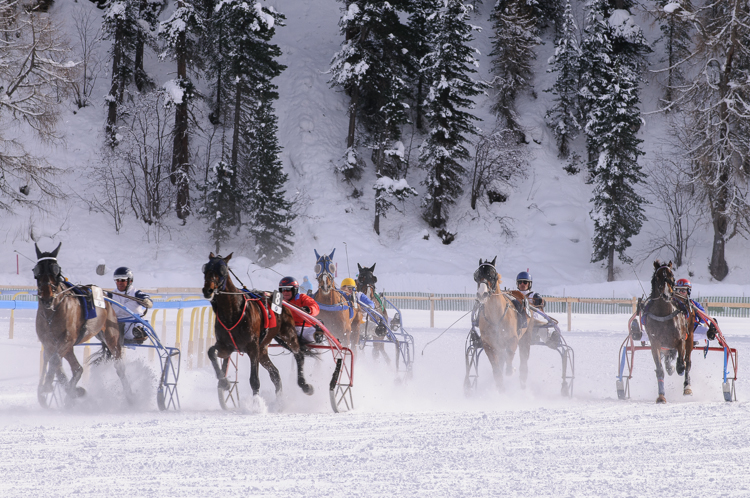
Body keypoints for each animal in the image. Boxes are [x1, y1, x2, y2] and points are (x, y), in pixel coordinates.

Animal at [33, 243, 132, 406]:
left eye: (56, 270)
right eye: (37, 270)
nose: (47, 297)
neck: (51, 313)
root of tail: (106, 298)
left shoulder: (67, 339)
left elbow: (54, 361)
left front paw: (47, 386)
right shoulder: (49, 342)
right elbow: (56, 365)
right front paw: (72, 391)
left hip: (111, 336)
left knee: (120, 367)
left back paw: (131, 397)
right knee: (78, 368)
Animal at [203, 253, 314, 400]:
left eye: (222, 271)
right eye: (204, 269)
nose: (208, 290)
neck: (232, 312)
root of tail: (283, 302)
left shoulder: (252, 347)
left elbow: (254, 381)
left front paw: (256, 403)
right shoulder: (226, 346)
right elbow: (211, 352)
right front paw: (224, 382)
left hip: (288, 334)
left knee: (299, 355)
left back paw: (305, 385)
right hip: (263, 348)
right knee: (275, 373)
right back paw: (280, 401)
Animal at [472, 258, 532, 392]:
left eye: (492, 275)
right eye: (476, 276)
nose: (482, 294)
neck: (495, 317)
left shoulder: (513, 339)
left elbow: (509, 361)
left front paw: (511, 370)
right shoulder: (489, 345)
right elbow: (497, 370)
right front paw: (501, 388)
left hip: (525, 338)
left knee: (523, 362)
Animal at [644, 258, 696, 402]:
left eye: (672, 276)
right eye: (658, 277)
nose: (667, 295)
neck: (663, 313)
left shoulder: (681, 340)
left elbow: (682, 364)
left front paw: (679, 368)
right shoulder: (655, 343)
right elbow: (660, 369)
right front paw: (661, 396)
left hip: (690, 337)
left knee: (687, 362)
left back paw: (687, 387)